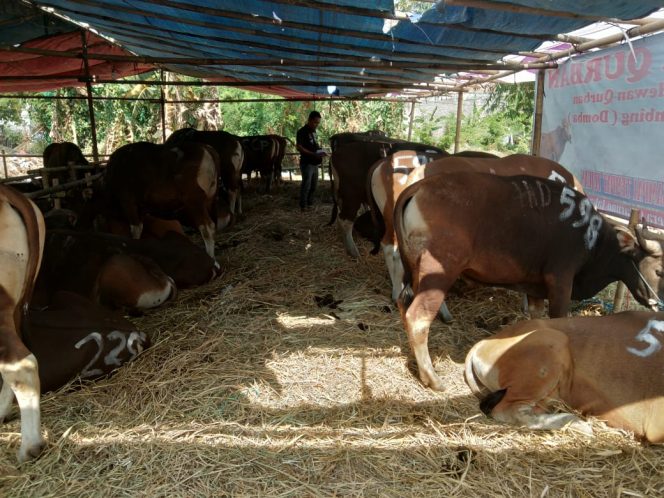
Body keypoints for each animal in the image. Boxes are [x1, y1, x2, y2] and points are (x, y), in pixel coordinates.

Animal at [394, 173, 664, 392]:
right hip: (438, 273)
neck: (593, 239)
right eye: (659, 270)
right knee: (418, 318)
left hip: (413, 273)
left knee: (403, 306)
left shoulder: (535, 288)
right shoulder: (560, 282)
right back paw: (432, 378)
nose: (658, 303)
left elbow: (535, 322)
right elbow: (560, 321)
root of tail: (419, 187)